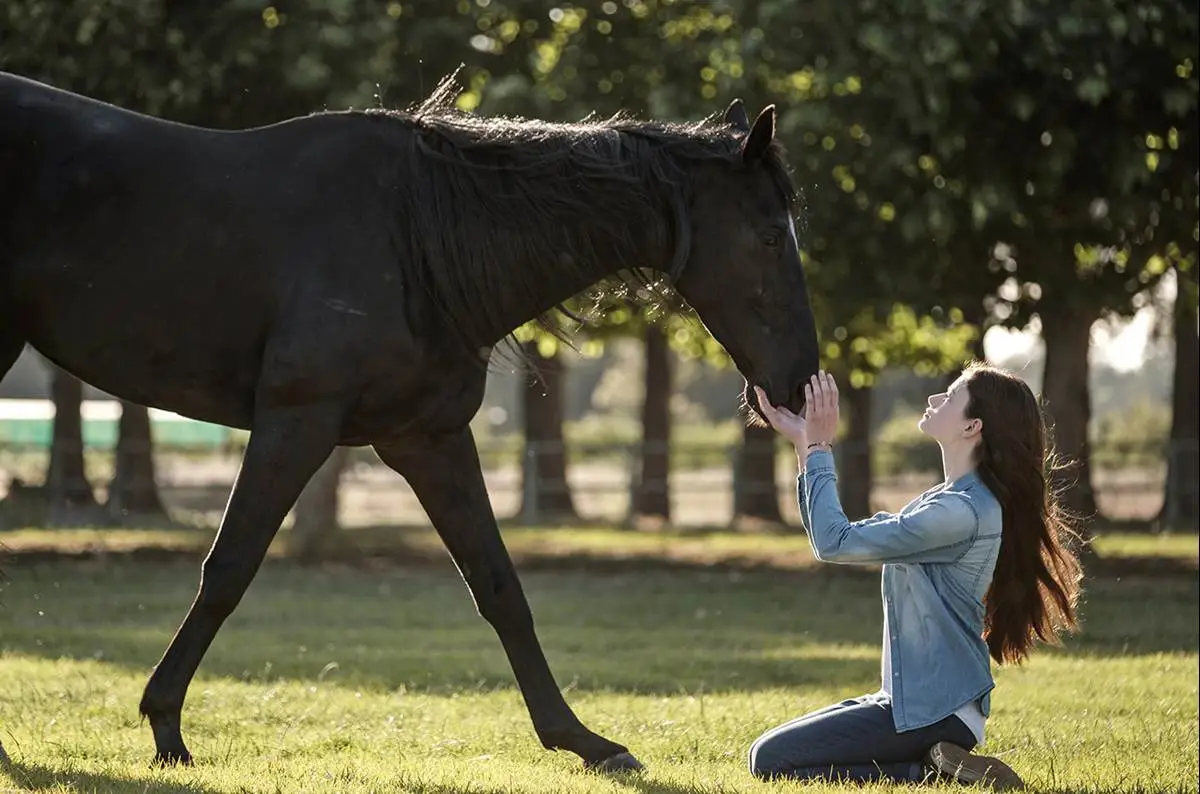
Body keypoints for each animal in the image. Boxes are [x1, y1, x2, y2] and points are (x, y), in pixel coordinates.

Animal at [0, 69, 820, 772]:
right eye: (767, 236)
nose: (800, 384)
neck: (416, 239)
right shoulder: (296, 423)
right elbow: (228, 568)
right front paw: (166, 728)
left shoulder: (427, 439)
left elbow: (499, 585)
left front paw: (583, 740)